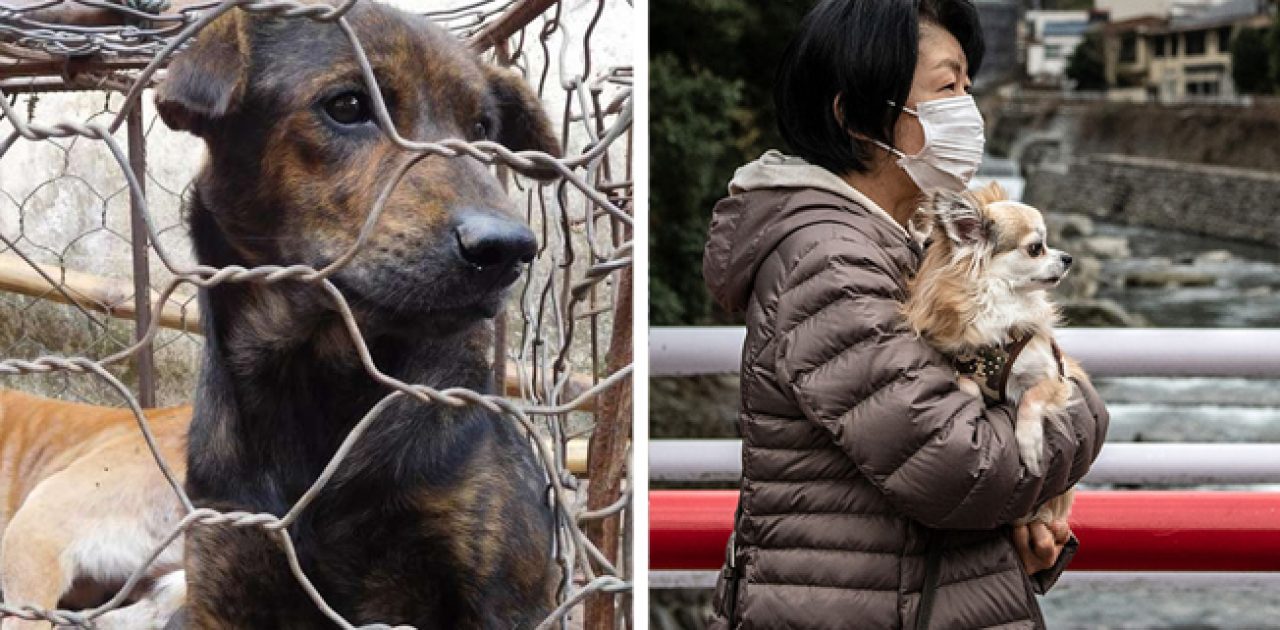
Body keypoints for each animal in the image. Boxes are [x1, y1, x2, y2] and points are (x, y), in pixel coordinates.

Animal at [153, 2, 560, 627]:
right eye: (346, 106)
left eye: (483, 131)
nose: (509, 249)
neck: (312, 373)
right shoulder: (225, 574)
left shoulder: (505, 597)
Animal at [901, 183, 1090, 527]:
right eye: (1036, 248)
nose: (1068, 257)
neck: (1001, 303)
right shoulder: (964, 366)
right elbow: (967, 384)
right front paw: (975, 400)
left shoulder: (1056, 378)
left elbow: (1030, 398)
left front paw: (1030, 446)